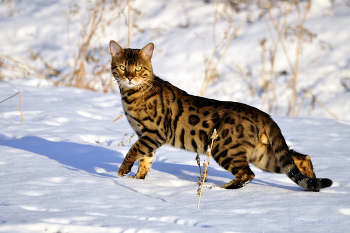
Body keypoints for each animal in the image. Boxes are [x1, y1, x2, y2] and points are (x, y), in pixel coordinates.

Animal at [110, 41, 334, 192]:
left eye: (139, 68)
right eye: (122, 67)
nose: (129, 77)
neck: (131, 94)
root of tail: (265, 115)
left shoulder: (155, 133)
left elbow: (134, 151)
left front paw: (123, 172)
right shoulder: (147, 136)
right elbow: (145, 160)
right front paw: (138, 181)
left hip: (225, 148)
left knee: (248, 174)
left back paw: (222, 189)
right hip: (261, 154)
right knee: (300, 159)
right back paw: (313, 186)